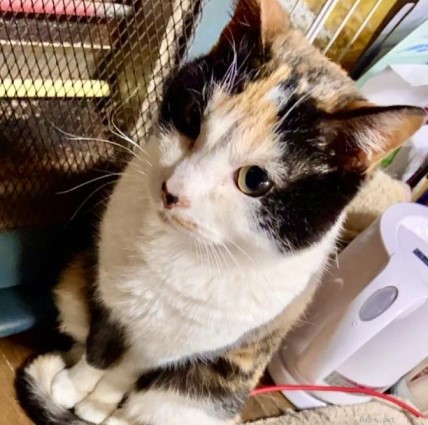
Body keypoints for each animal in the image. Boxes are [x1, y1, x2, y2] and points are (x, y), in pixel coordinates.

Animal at [17, 0, 425, 424]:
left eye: (255, 180)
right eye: (191, 117)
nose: (172, 191)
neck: (179, 249)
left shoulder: (174, 346)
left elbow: (127, 372)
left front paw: (97, 404)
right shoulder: (110, 294)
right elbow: (101, 344)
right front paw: (73, 384)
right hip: (74, 281)